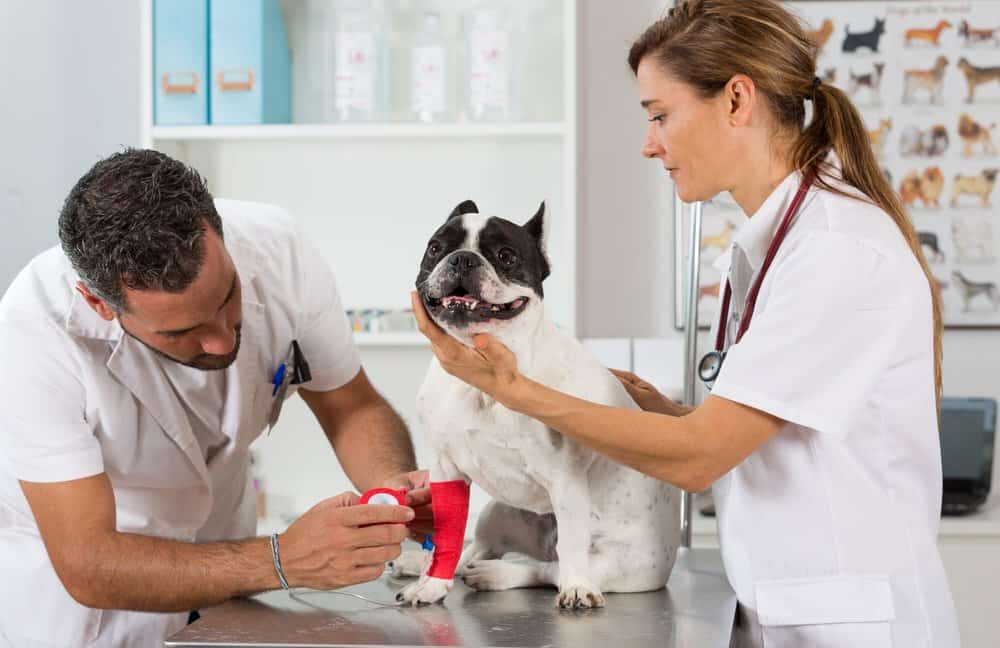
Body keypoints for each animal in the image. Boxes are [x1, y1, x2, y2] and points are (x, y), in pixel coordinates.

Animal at [394, 201, 684, 608]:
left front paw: (577, 588)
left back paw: (504, 575)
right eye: (436, 248)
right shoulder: (446, 469)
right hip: (498, 511)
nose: (462, 258)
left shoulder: (566, 480)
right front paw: (432, 584)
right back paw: (428, 565)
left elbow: (572, 547)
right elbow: (449, 536)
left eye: (506, 255)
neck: (480, 386)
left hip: (622, 563)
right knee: (475, 550)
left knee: (549, 568)